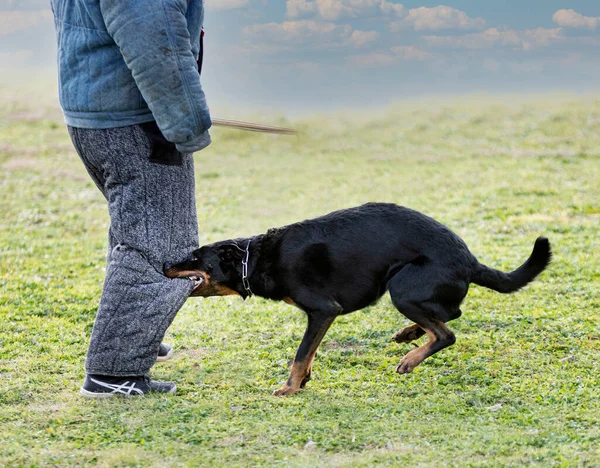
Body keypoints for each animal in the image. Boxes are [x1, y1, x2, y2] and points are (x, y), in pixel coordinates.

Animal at [164, 203, 548, 396]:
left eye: (195, 257)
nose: (165, 264)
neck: (255, 258)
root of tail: (469, 260)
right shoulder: (320, 317)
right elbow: (311, 353)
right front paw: (303, 382)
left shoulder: (322, 310)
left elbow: (301, 354)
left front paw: (290, 388)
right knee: (450, 313)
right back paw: (408, 334)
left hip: (402, 287)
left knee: (446, 332)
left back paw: (410, 359)